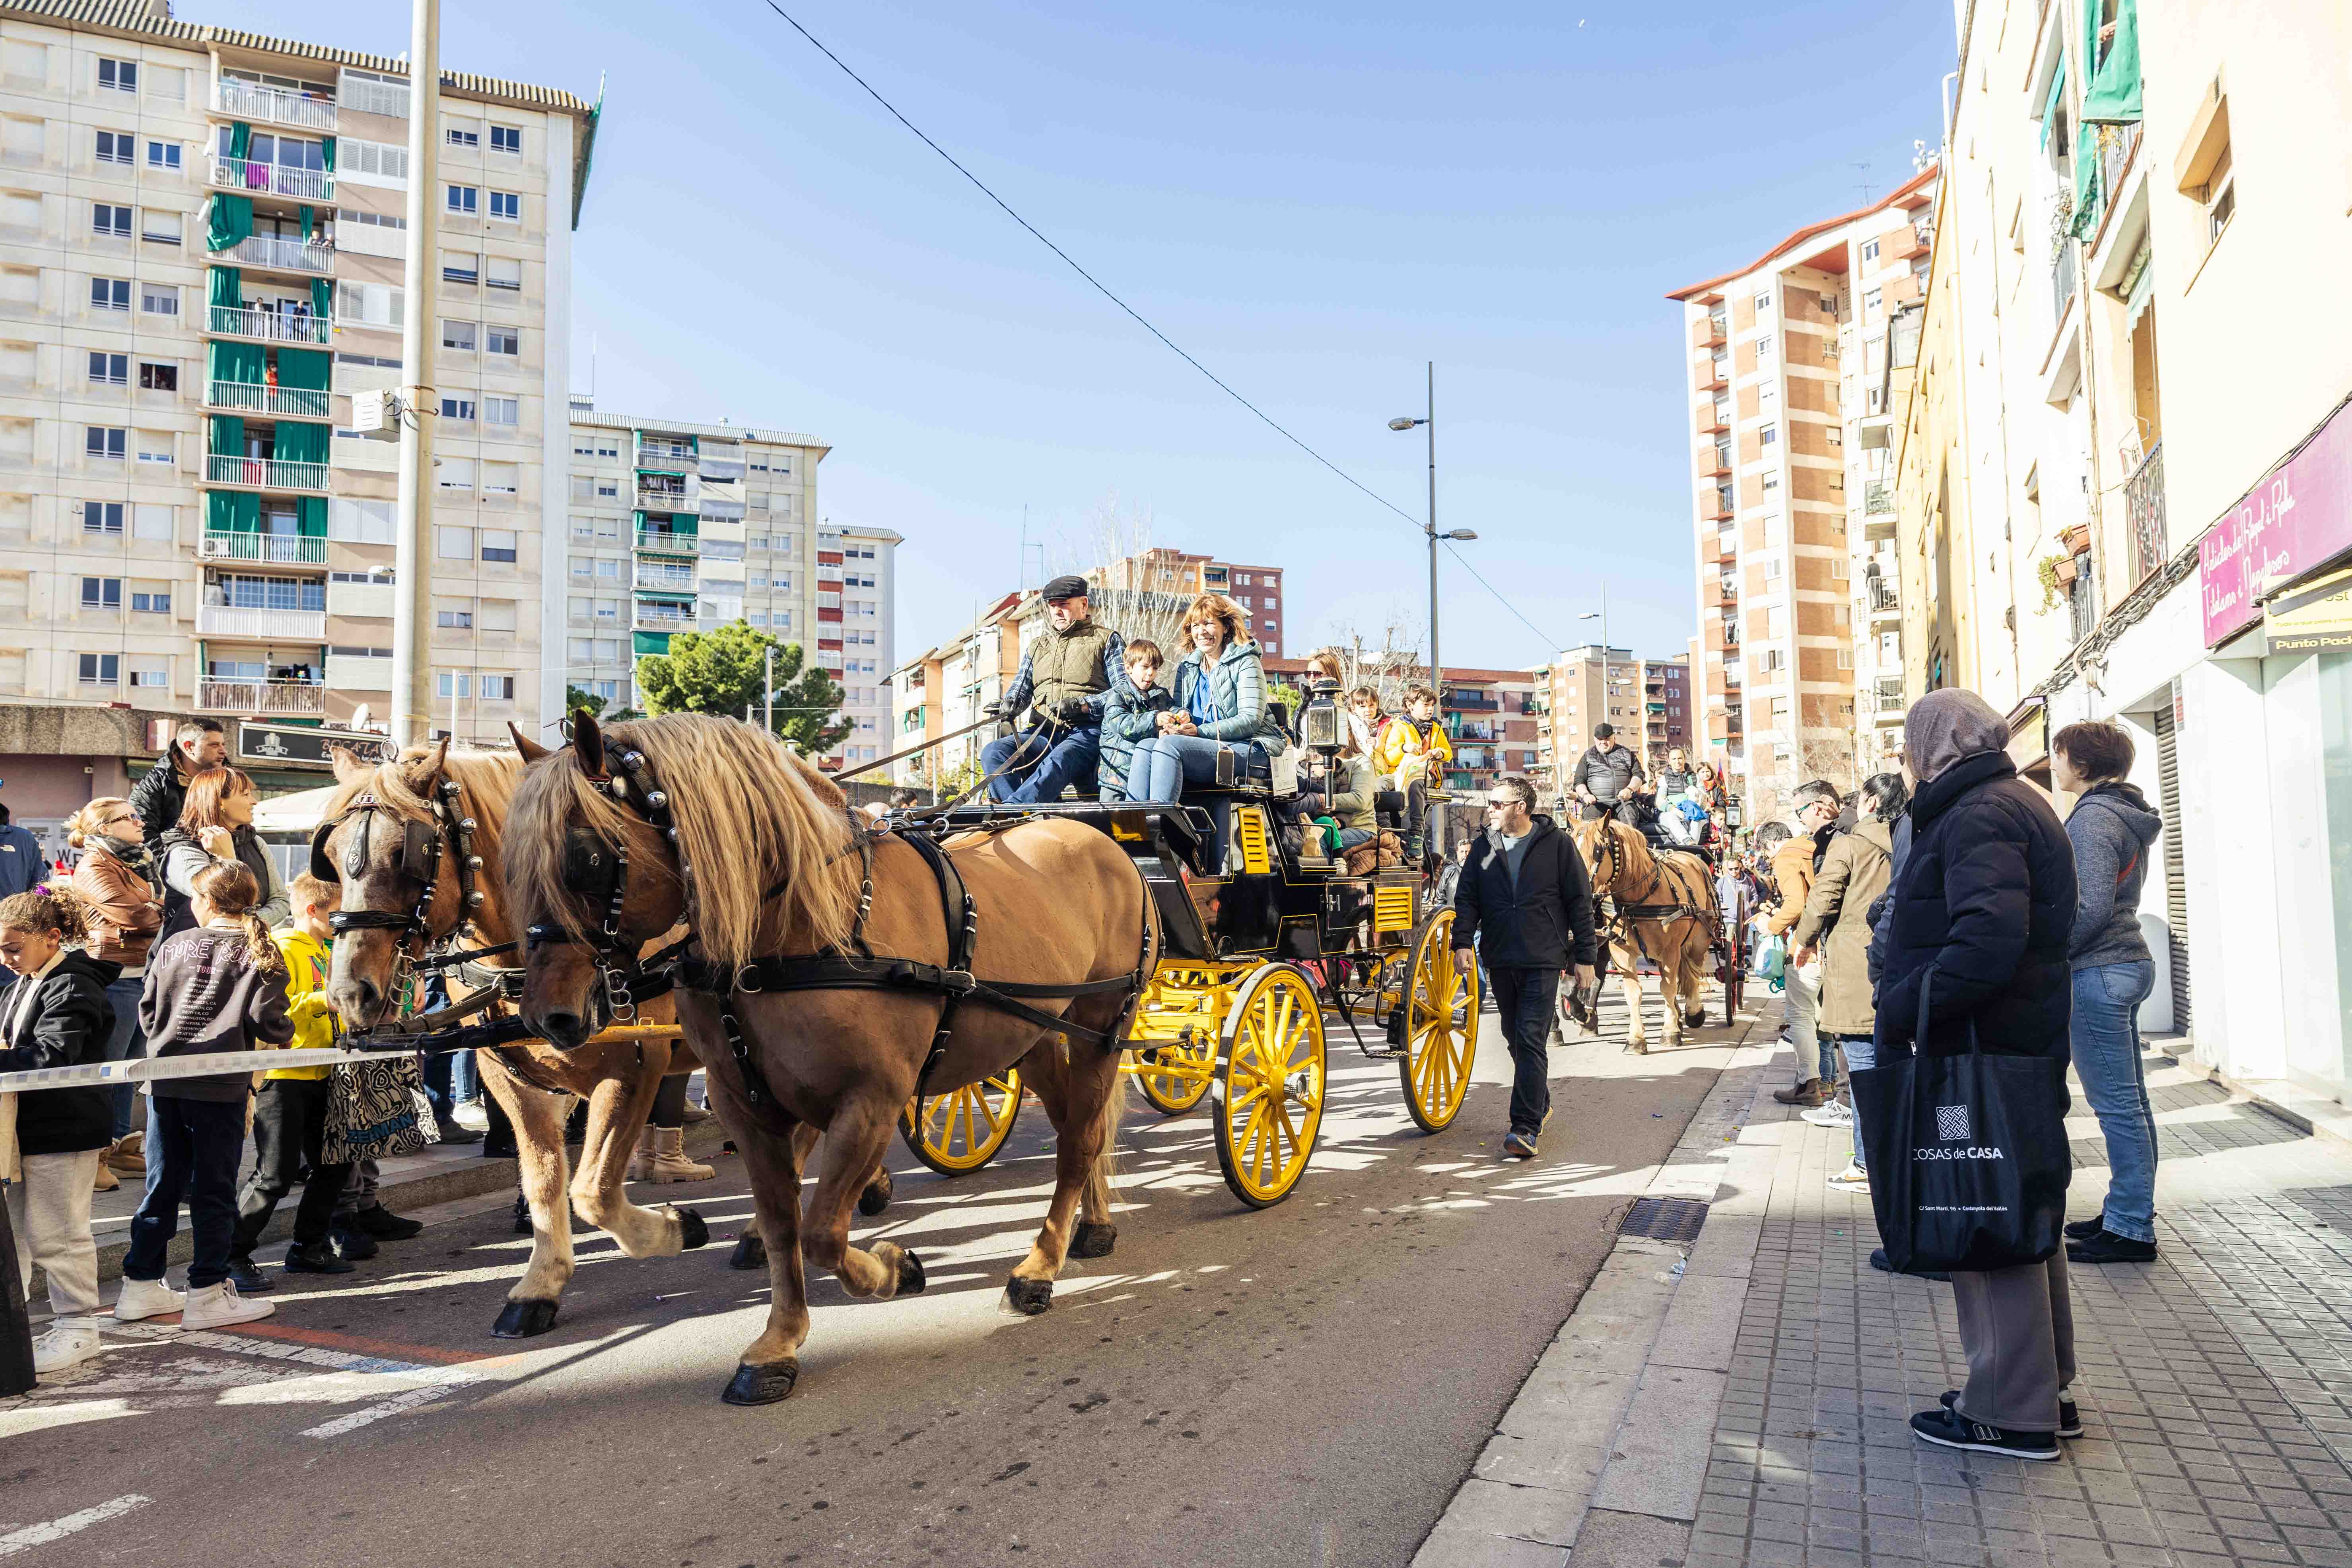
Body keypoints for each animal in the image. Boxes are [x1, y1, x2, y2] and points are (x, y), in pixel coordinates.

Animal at [313, 743, 889, 1345]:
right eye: (326, 852)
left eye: (408, 851)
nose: (349, 991)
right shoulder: (515, 1081)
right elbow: (545, 1183)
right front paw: (540, 1285)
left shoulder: (634, 1067)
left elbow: (592, 1189)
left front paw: (677, 1227)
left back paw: (768, 1228)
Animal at [510, 719, 1152, 1401]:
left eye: (588, 857)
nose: (545, 1017)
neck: (797, 929)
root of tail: (1103, 843)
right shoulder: (744, 1104)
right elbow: (780, 1224)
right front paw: (779, 1341)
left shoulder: (871, 1100)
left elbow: (821, 1232)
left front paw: (895, 1267)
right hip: (1032, 1038)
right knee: (1075, 1128)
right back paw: (1091, 1224)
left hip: (1100, 1029)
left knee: (1080, 1139)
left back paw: (1040, 1264)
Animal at [1571, 823, 1722, 1053]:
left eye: (1598, 850)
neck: (1640, 898)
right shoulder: (1622, 953)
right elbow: (1634, 993)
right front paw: (1636, 1039)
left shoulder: (1670, 951)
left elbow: (1668, 988)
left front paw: (1670, 1032)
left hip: (1700, 939)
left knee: (1694, 970)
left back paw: (1694, 1012)